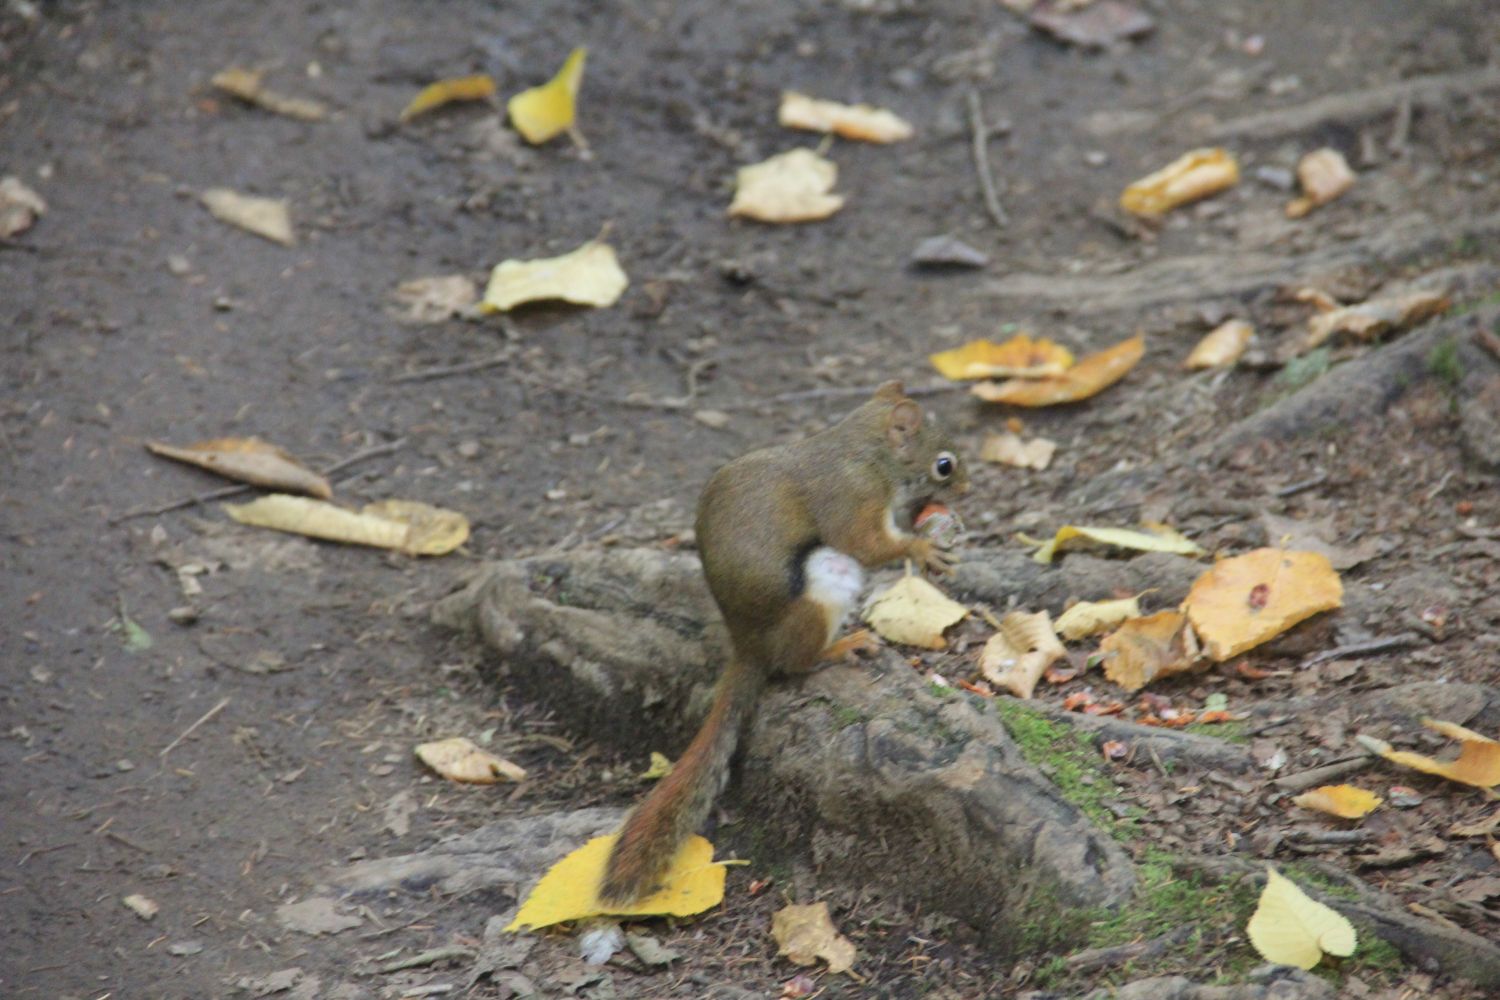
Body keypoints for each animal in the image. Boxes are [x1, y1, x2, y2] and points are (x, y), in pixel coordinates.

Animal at [597, 379, 972, 905]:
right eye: (944, 464)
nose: (967, 489)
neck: (867, 453)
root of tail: (747, 645)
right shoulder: (851, 497)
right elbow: (867, 543)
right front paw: (922, 547)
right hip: (821, 588)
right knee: (795, 663)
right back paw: (840, 648)